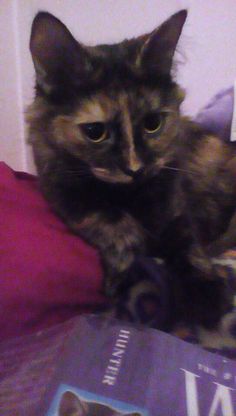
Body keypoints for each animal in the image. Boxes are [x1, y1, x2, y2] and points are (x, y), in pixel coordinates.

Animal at [26, 8, 236, 332]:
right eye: (95, 132)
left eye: (153, 124)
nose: (135, 169)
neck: (129, 196)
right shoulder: (62, 190)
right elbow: (111, 222)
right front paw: (121, 275)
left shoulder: (176, 208)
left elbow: (189, 247)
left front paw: (207, 295)